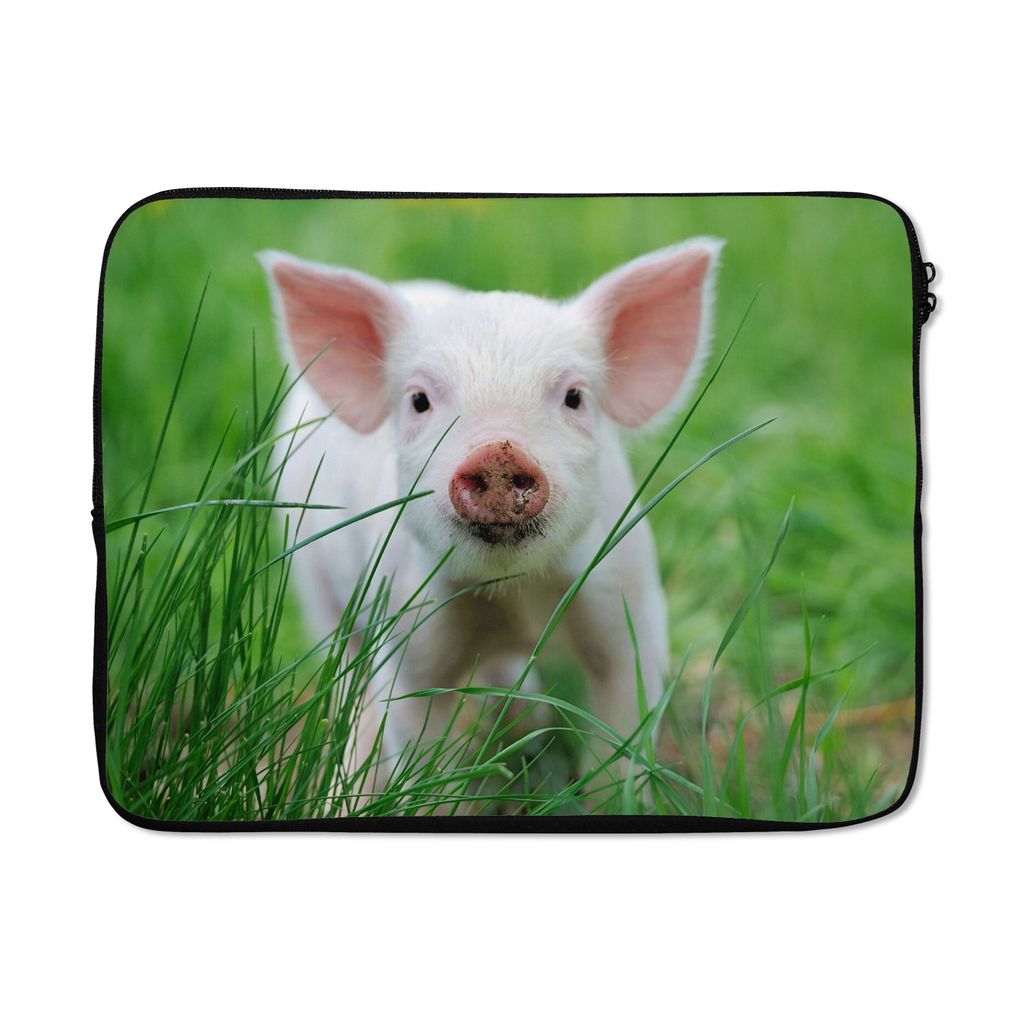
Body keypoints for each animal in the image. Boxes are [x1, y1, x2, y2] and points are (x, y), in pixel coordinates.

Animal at [260, 237, 722, 784]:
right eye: (419, 401)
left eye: (574, 396)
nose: (498, 454)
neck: (511, 593)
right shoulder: (405, 625)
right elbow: (415, 739)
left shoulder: (629, 604)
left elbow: (620, 734)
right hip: (313, 578)